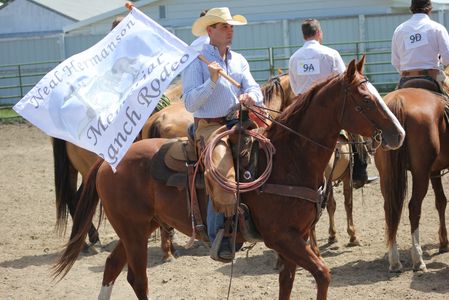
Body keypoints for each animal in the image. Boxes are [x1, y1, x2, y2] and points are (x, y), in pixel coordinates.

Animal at [54, 57, 404, 298]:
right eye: (365, 100)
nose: (398, 134)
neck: (289, 159)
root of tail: (109, 162)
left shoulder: (295, 239)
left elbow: (288, 283)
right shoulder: (283, 237)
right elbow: (322, 274)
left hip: (140, 227)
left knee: (114, 267)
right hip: (133, 229)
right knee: (137, 278)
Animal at [374, 86, 448, 272]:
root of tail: (398, 100)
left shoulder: (435, 171)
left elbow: (441, 201)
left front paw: (444, 242)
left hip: (386, 174)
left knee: (389, 209)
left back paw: (394, 261)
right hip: (420, 173)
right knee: (414, 207)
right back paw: (418, 259)